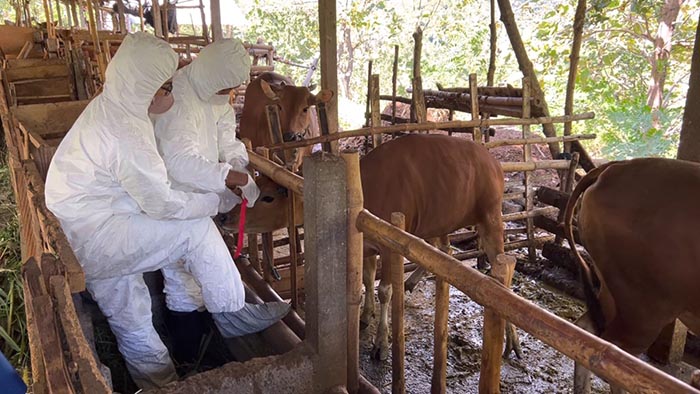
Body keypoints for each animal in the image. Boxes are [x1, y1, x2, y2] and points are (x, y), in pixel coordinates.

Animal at [224, 135, 520, 360]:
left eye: (268, 197)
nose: (226, 217)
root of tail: (494, 162)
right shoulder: (367, 245)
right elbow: (366, 280)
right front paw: (365, 316)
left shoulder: (389, 248)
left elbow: (384, 290)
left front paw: (381, 342)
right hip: (438, 221)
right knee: (444, 251)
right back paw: (413, 281)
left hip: (491, 218)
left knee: (502, 277)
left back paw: (512, 341)